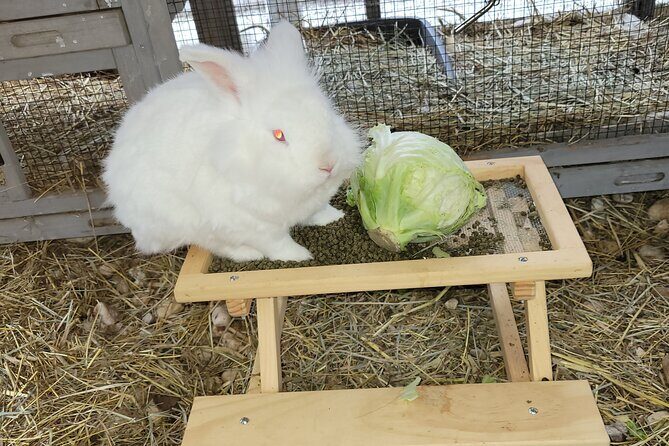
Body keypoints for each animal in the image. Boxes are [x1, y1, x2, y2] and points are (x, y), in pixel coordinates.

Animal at [101, 21, 363, 262]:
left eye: (327, 115)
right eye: (279, 135)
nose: (328, 165)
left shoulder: (313, 204)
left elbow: (318, 213)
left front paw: (335, 217)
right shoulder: (254, 225)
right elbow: (278, 244)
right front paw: (300, 257)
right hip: (187, 223)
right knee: (215, 244)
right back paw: (249, 254)